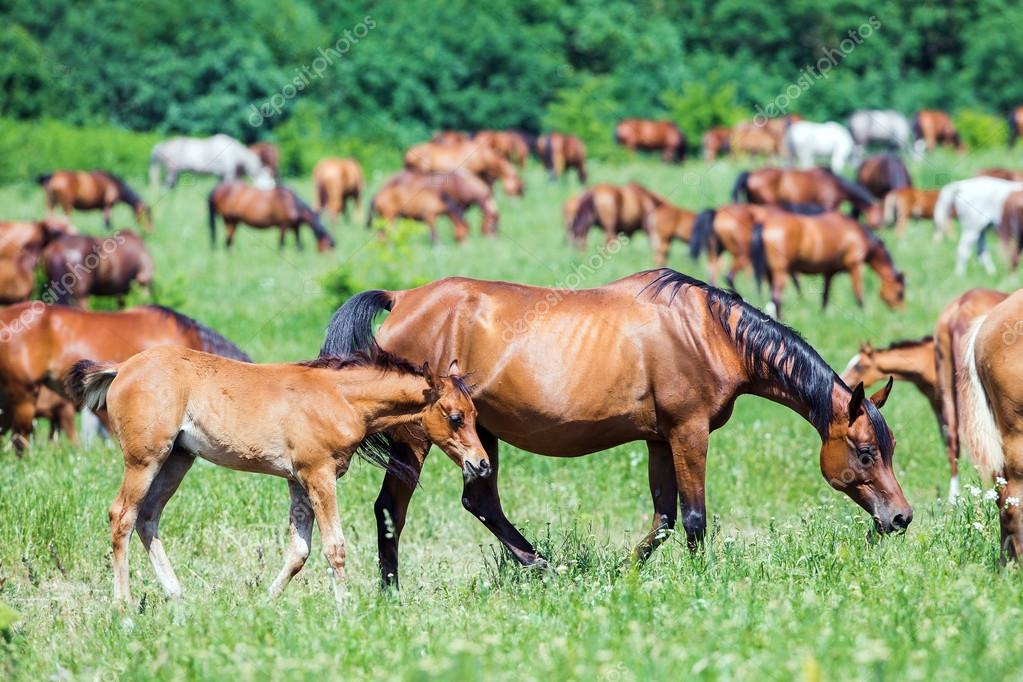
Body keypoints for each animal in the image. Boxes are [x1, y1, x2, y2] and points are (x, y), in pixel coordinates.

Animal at [65, 346, 488, 603]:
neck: (338, 397)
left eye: (474, 414)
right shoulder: (318, 475)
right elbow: (335, 547)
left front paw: (264, 603)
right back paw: (123, 606)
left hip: (177, 460)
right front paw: (345, 609)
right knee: (122, 516)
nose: (482, 464)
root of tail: (123, 367)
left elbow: (299, 551)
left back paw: (178, 596)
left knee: (148, 517)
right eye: (455, 417)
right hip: (145, 459)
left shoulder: (297, 481)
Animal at [320, 270, 912, 587]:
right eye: (865, 452)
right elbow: (694, 519)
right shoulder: (688, 432)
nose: (901, 518)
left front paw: (621, 573)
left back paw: (544, 567)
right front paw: (701, 583)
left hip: (477, 435)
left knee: (480, 501)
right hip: (419, 438)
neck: (708, 332)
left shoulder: (658, 440)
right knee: (391, 509)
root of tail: (402, 299)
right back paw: (392, 594)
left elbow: (664, 519)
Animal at [749, 209, 905, 319]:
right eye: (899, 293)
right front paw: (864, 313)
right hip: (780, 270)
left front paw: (822, 315)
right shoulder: (855, 265)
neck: (857, 233)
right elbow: (858, 294)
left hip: (770, 272)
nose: (901, 313)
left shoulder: (829, 272)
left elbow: (825, 296)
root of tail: (764, 223)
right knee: (777, 297)